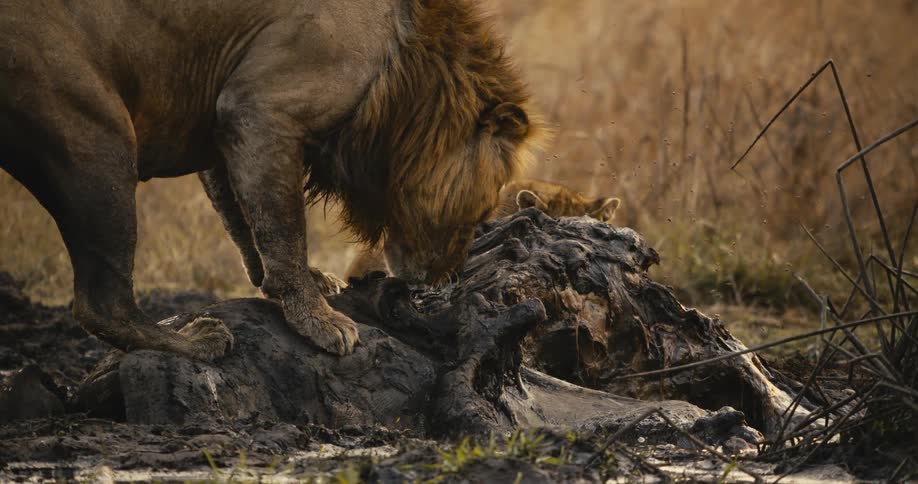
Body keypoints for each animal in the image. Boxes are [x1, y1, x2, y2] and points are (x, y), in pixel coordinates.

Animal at [0, 0, 543, 359]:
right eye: (481, 211)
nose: (447, 279)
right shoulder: (260, 108)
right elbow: (283, 227)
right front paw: (320, 322)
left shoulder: (222, 118)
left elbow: (245, 220)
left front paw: (299, 284)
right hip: (99, 137)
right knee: (101, 303)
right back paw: (195, 341)